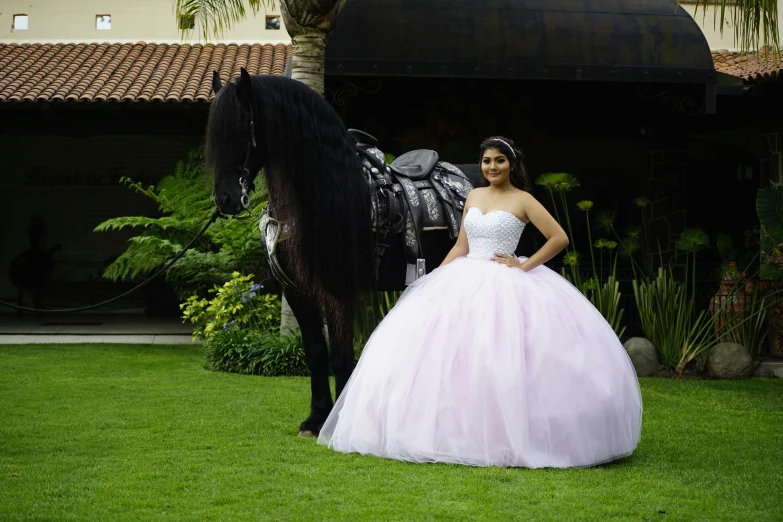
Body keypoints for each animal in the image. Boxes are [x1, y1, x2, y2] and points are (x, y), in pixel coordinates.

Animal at [205, 69, 480, 434]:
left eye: (241, 125)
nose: (225, 199)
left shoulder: (339, 289)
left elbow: (341, 354)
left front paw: (336, 420)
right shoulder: (296, 290)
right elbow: (315, 352)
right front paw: (316, 417)